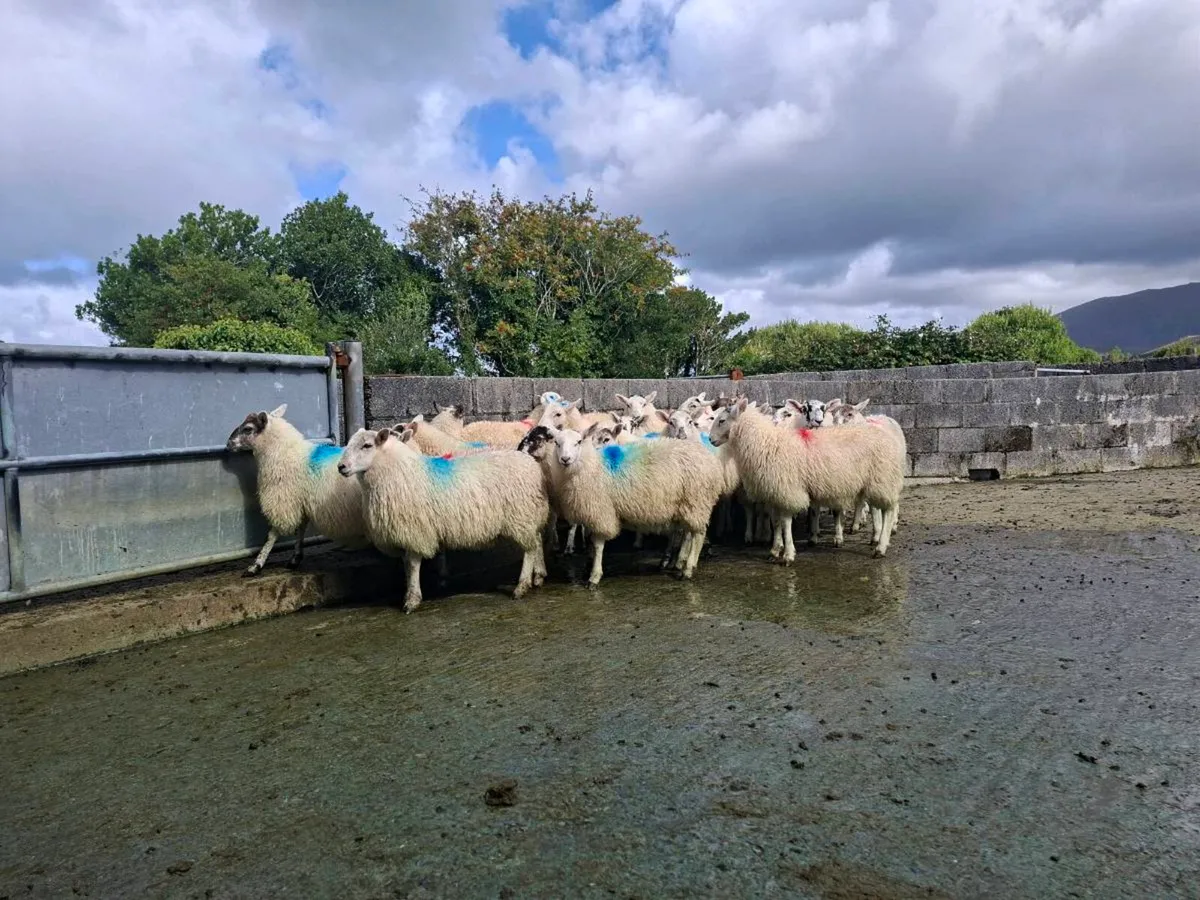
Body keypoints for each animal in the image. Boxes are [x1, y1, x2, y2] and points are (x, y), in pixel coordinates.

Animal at [225, 403, 369, 575]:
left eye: (248, 429)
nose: (228, 444)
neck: (281, 453)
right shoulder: (301, 502)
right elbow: (300, 530)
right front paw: (295, 558)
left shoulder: (284, 500)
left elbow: (272, 534)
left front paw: (256, 565)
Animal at [337, 427, 549, 613]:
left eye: (367, 445)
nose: (341, 467)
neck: (398, 472)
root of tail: (531, 463)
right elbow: (408, 564)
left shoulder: (415, 530)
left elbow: (412, 564)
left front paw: (412, 600)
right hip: (529, 517)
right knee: (538, 541)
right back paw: (538, 576)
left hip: (520, 517)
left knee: (530, 549)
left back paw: (521, 586)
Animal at [544, 422, 724, 585]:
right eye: (556, 443)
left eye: (579, 441)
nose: (565, 459)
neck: (591, 466)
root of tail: (709, 459)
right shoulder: (590, 513)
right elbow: (590, 544)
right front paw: (589, 566)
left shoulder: (602, 512)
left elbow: (598, 544)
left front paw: (594, 576)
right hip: (687, 505)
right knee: (688, 533)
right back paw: (679, 563)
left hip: (697, 501)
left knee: (698, 534)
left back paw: (687, 570)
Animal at [708, 398, 903, 560]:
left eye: (722, 420)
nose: (710, 439)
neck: (765, 442)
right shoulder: (773, 492)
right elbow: (776, 522)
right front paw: (775, 550)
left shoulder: (788, 490)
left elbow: (785, 522)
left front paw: (788, 554)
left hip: (882, 479)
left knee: (889, 510)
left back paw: (881, 546)